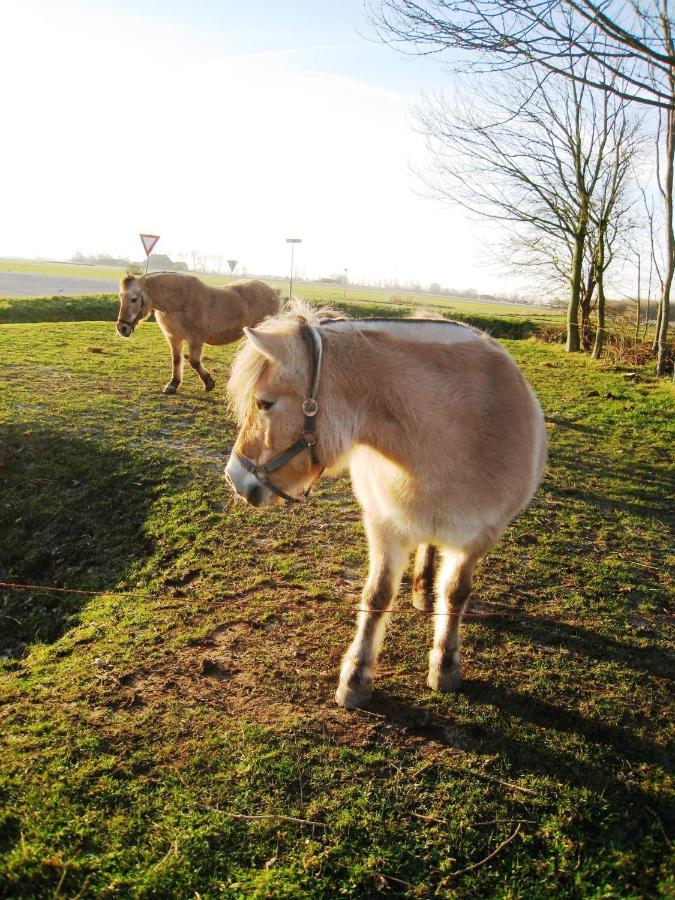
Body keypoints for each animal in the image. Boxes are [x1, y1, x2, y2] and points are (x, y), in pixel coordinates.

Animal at [117, 270, 282, 390]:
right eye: (120, 297)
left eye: (133, 299)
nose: (122, 328)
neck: (180, 303)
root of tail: (273, 292)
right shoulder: (173, 338)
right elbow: (176, 360)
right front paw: (173, 384)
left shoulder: (195, 339)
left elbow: (194, 362)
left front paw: (208, 382)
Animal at [227, 304, 548, 712]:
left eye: (264, 403)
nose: (234, 477)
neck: (450, 433)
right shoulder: (384, 526)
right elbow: (377, 595)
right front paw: (355, 677)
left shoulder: (478, 537)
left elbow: (455, 593)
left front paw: (445, 664)